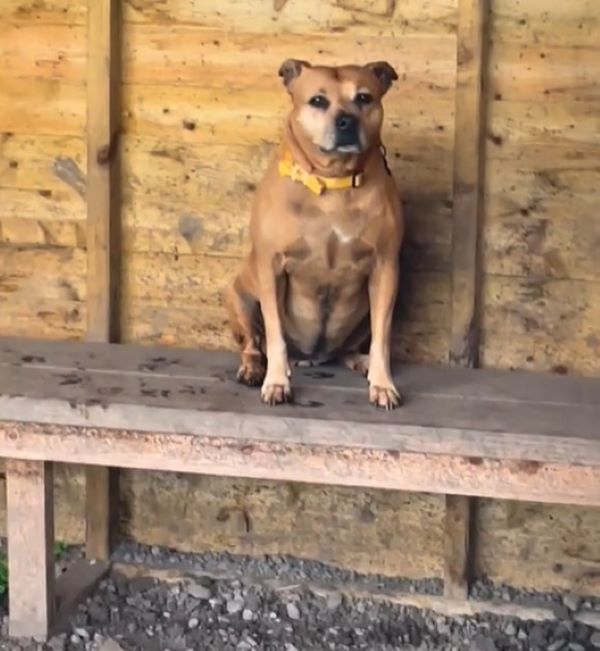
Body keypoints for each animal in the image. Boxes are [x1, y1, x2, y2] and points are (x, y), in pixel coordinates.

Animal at [227, 58, 406, 410]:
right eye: (318, 101)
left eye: (364, 97)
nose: (347, 121)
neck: (333, 180)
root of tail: (311, 357)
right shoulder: (271, 267)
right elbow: (275, 335)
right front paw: (276, 382)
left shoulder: (385, 267)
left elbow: (382, 338)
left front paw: (382, 384)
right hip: (240, 296)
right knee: (254, 344)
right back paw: (253, 369)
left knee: (351, 347)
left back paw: (360, 361)